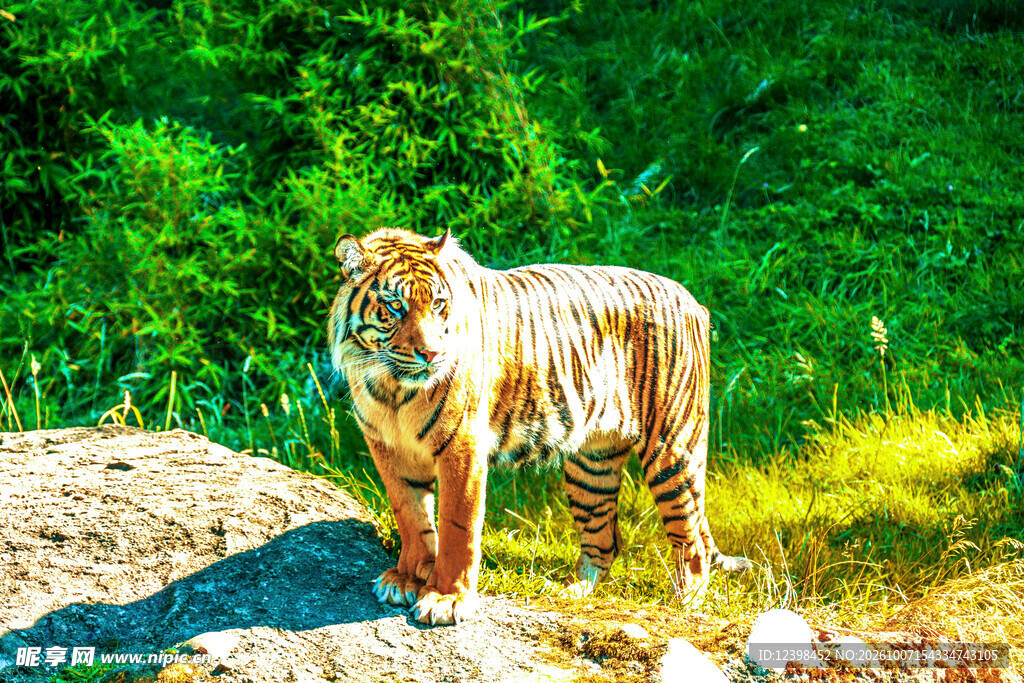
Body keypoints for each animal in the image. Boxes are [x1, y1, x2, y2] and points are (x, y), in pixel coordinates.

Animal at [327, 227, 750, 625]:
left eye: (438, 304)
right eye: (395, 305)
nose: (432, 353)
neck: (393, 387)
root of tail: (690, 298)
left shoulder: (462, 446)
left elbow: (456, 526)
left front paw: (446, 599)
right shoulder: (388, 447)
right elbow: (411, 516)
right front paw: (407, 579)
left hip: (672, 449)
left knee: (691, 540)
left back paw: (685, 603)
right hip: (591, 466)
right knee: (604, 541)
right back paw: (569, 592)